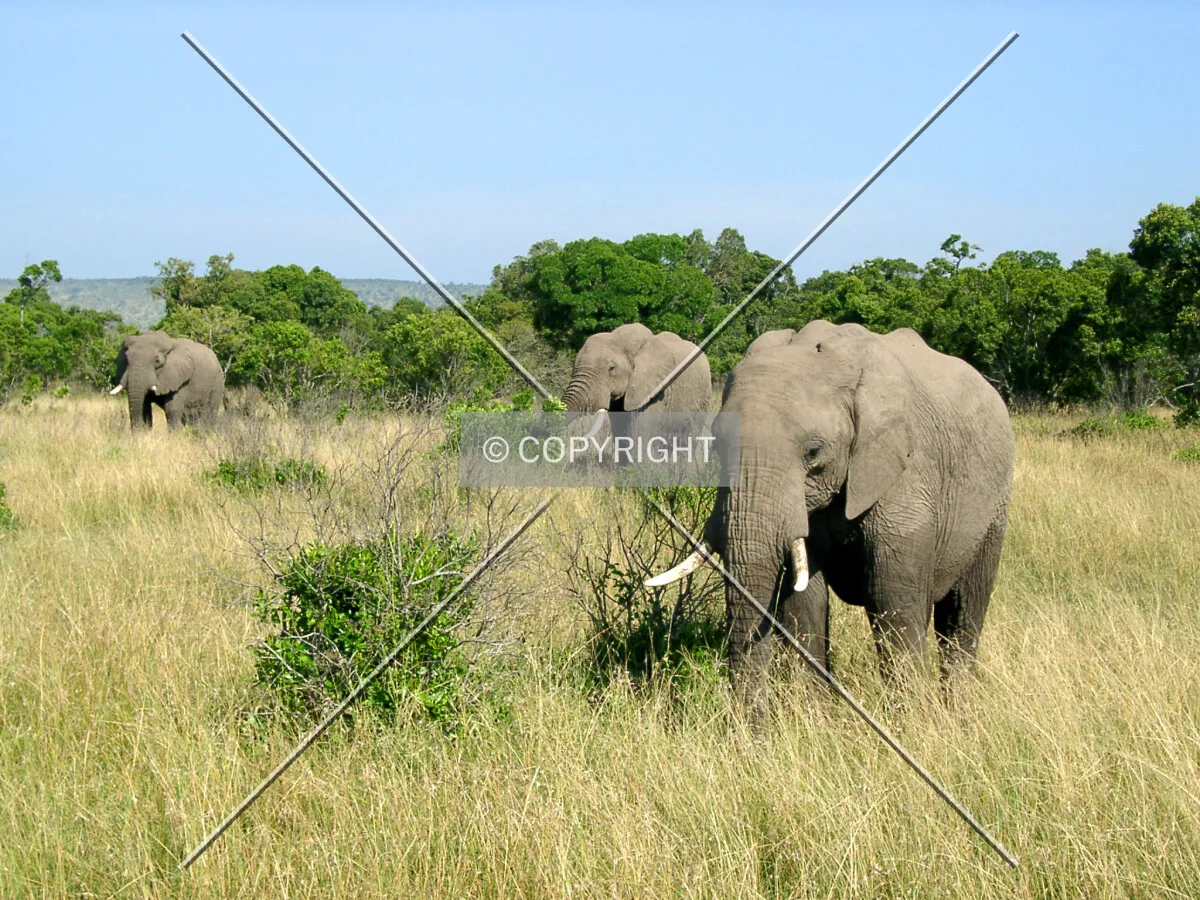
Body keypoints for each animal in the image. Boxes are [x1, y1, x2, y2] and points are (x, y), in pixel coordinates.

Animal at [647, 320, 1015, 716]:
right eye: (716, 444)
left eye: (813, 452)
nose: (751, 725)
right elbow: (804, 601)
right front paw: (814, 715)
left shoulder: (908, 478)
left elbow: (892, 598)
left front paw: (913, 720)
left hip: (996, 505)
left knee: (965, 610)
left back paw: (959, 710)